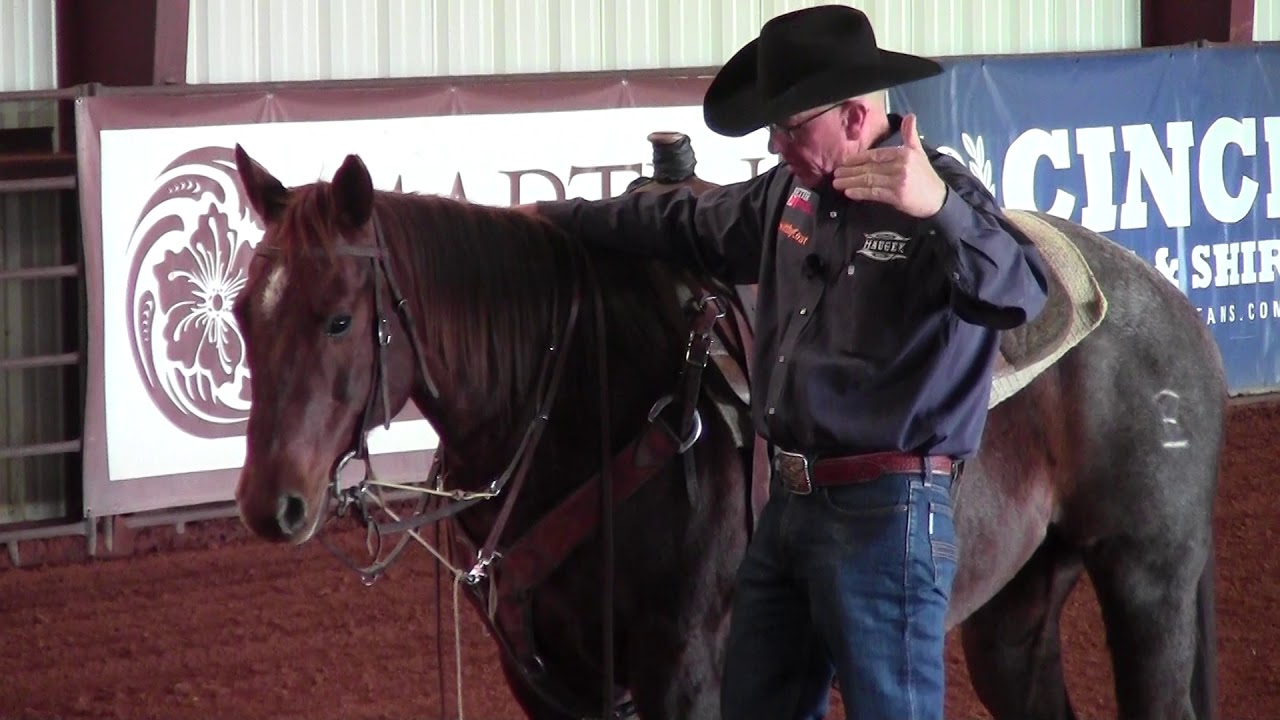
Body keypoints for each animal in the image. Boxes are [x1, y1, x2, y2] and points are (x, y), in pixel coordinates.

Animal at [228, 123, 1225, 720]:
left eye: (339, 319)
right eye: (240, 310)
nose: (270, 504)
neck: (587, 410)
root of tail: (1172, 307)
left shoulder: (684, 671)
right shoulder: (548, 680)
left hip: (1148, 578)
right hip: (1015, 607)